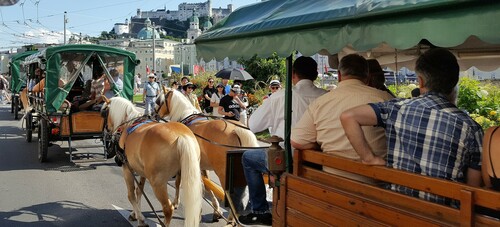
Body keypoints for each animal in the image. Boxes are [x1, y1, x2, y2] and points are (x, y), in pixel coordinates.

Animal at [100, 96, 202, 227]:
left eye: (104, 113)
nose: (106, 130)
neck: (129, 124)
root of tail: (181, 136)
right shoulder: (142, 172)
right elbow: (139, 191)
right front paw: (135, 214)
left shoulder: (127, 168)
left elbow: (131, 195)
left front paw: (141, 219)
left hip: (157, 183)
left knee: (168, 209)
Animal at [154, 88, 260, 221]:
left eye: (159, 100)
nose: (154, 113)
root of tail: (236, 130)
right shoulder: (201, 165)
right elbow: (207, 185)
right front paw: (216, 210)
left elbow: (180, 182)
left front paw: (176, 203)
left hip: (223, 172)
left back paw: (231, 220)